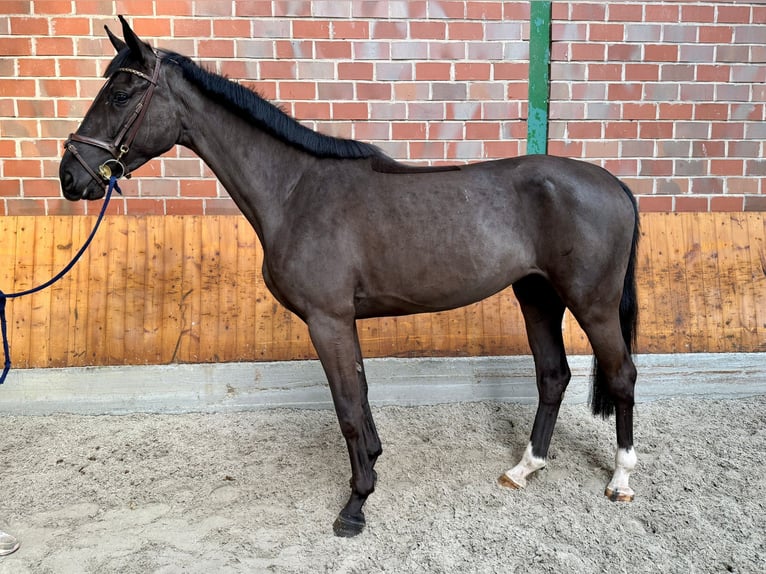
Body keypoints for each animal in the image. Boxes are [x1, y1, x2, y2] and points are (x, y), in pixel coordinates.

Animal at [59, 17, 640, 537]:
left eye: (121, 94)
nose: (70, 176)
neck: (296, 190)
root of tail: (613, 184)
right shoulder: (343, 323)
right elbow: (360, 396)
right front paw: (374, 465)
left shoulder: (328, 320)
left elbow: (347, 409)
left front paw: (356, 504)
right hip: (536, 294)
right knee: (553, 375)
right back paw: (525, 467)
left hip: (591, 303)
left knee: (621, 375)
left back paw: (621, 480)